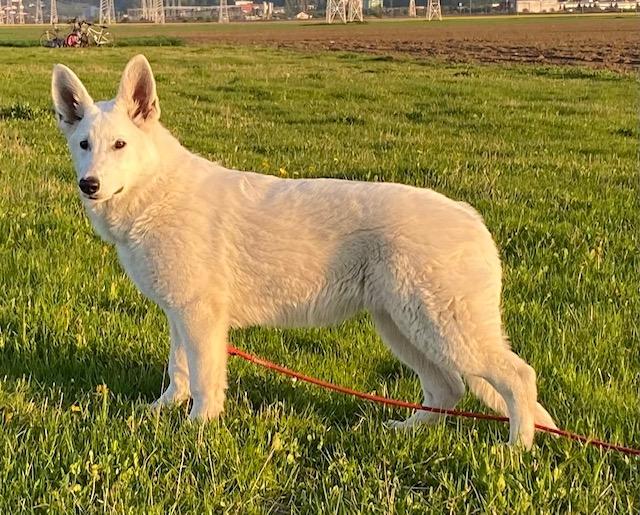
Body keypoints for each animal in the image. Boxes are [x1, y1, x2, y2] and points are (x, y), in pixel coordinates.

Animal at [52, 53, 556, 448]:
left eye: (120, 145)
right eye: (84, 145)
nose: (89, 185)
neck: (157, 193)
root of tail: (472, 217)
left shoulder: (200, 319)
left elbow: (204, 381)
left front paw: (198, 428)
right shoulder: (180, 316)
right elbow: (179, 373)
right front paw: (163, 412)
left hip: (444, 330)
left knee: (518, 378)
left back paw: (516, 449)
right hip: (404, 329)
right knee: (446, 389)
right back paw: (408, 431)